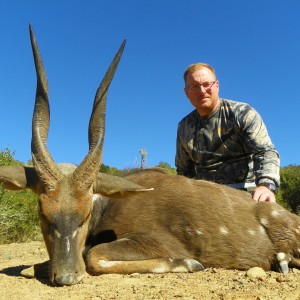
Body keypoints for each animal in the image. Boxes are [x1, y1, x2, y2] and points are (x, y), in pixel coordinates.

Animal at [0, 25, 300, 286]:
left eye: (84, 216)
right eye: (43, 214)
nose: (66, 277)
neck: (107, 205)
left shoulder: (155, 241)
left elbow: (93, 255)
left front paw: (189, 263)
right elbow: (31, 267)